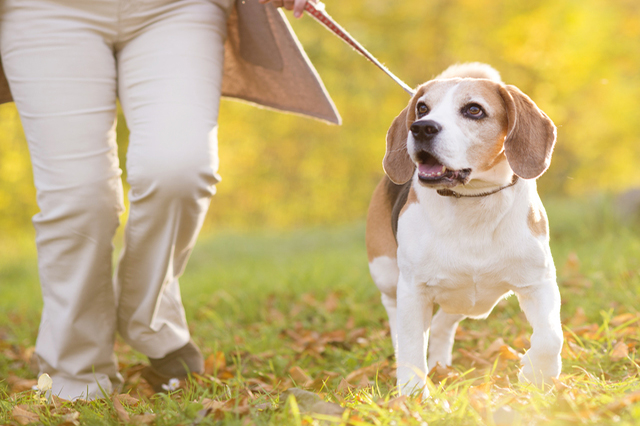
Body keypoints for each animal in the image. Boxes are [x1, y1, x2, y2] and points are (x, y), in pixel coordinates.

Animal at [368, 63, 564, 400]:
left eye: (474, 110)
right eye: (422, 108)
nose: (421, 128)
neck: (473, 201)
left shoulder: (538, 282)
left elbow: (551, 337)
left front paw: (536, 373)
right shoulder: (414, 289)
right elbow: (411, 345)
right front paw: (413, 395)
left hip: (470, 302)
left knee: (443, 324)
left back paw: (440, 364)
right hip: (387, 275)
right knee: (397, 318)